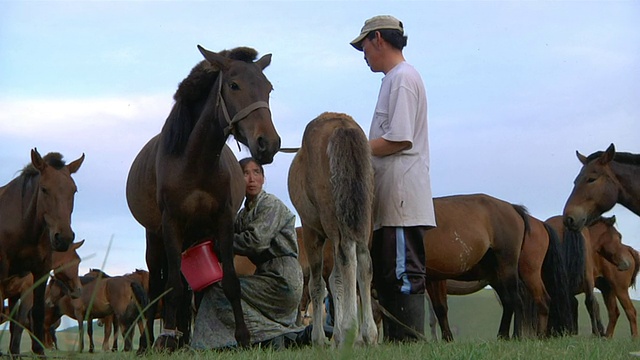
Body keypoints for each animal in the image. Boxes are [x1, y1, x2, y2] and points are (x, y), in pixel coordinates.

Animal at [126, 43, 282, 350]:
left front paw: (243, 338)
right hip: (156, 238)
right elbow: (171, 287)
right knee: (158, 288)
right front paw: (165, 339)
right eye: (234, 85)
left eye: (268, 88)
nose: (268, 143)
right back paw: (151, 342)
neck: (194, 162)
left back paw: (184, 338)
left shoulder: (221, 222)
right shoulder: (171, 224)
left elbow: (229, 282)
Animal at [288, 112, 378, 346]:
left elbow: (318, 284)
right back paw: (367, 334)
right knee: (364, 261)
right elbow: (336, 281)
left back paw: (350, 330)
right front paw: (336, 336)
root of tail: (342, 125)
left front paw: (320, 338)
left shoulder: (312, 231)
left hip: (332, 220)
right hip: (363, 219)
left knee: (348, 257)